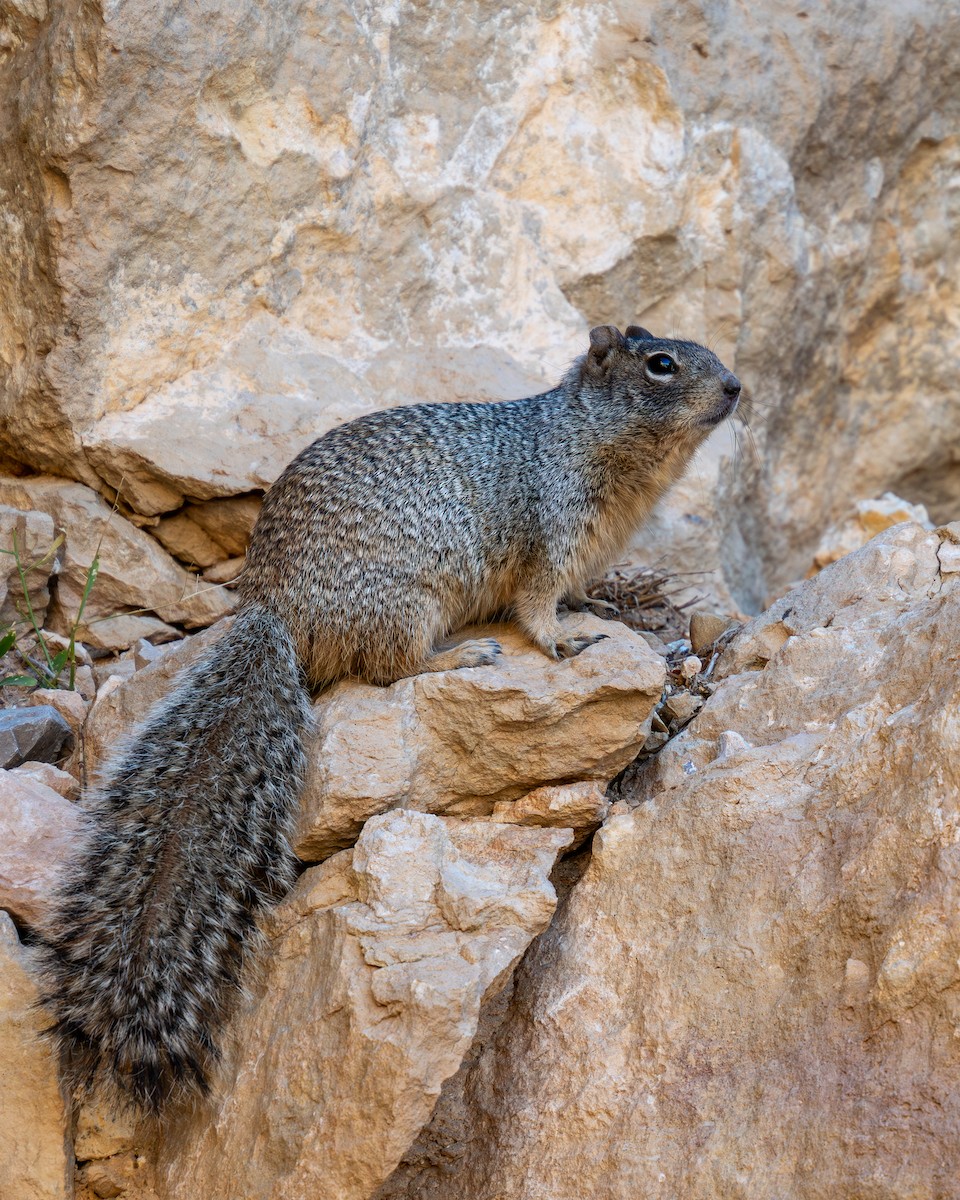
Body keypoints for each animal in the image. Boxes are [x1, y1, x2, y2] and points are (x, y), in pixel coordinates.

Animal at [39, 324, 740, 1114]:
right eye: (661, 365)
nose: (736, 387)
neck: (583, 437)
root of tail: (272, 609)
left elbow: (570, 593)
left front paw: (594, 608)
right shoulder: (551, 534)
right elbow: (535, 603)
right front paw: (563, 640)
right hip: (408, 605)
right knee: (387, 670)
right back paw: (458, 659)